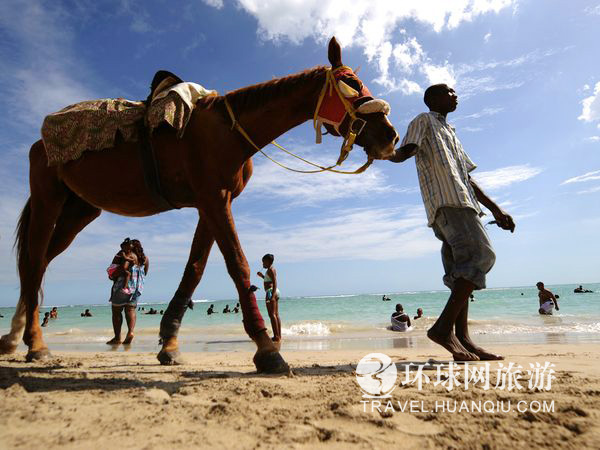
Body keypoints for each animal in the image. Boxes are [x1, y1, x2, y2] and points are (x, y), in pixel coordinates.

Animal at [0, 37, 398, 372]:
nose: (390, 135)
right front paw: (266, 350)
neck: (227, 132)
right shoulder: (213, 199)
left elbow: (194, 269)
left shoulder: (213, 202)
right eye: (351, 83)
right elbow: (237, 264)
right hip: (48, 199)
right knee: (33, 262)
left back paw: (15, 337)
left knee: (40, 262)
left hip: (80, 209)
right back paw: (35, 343)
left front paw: (170, 342)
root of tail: (39, 142)